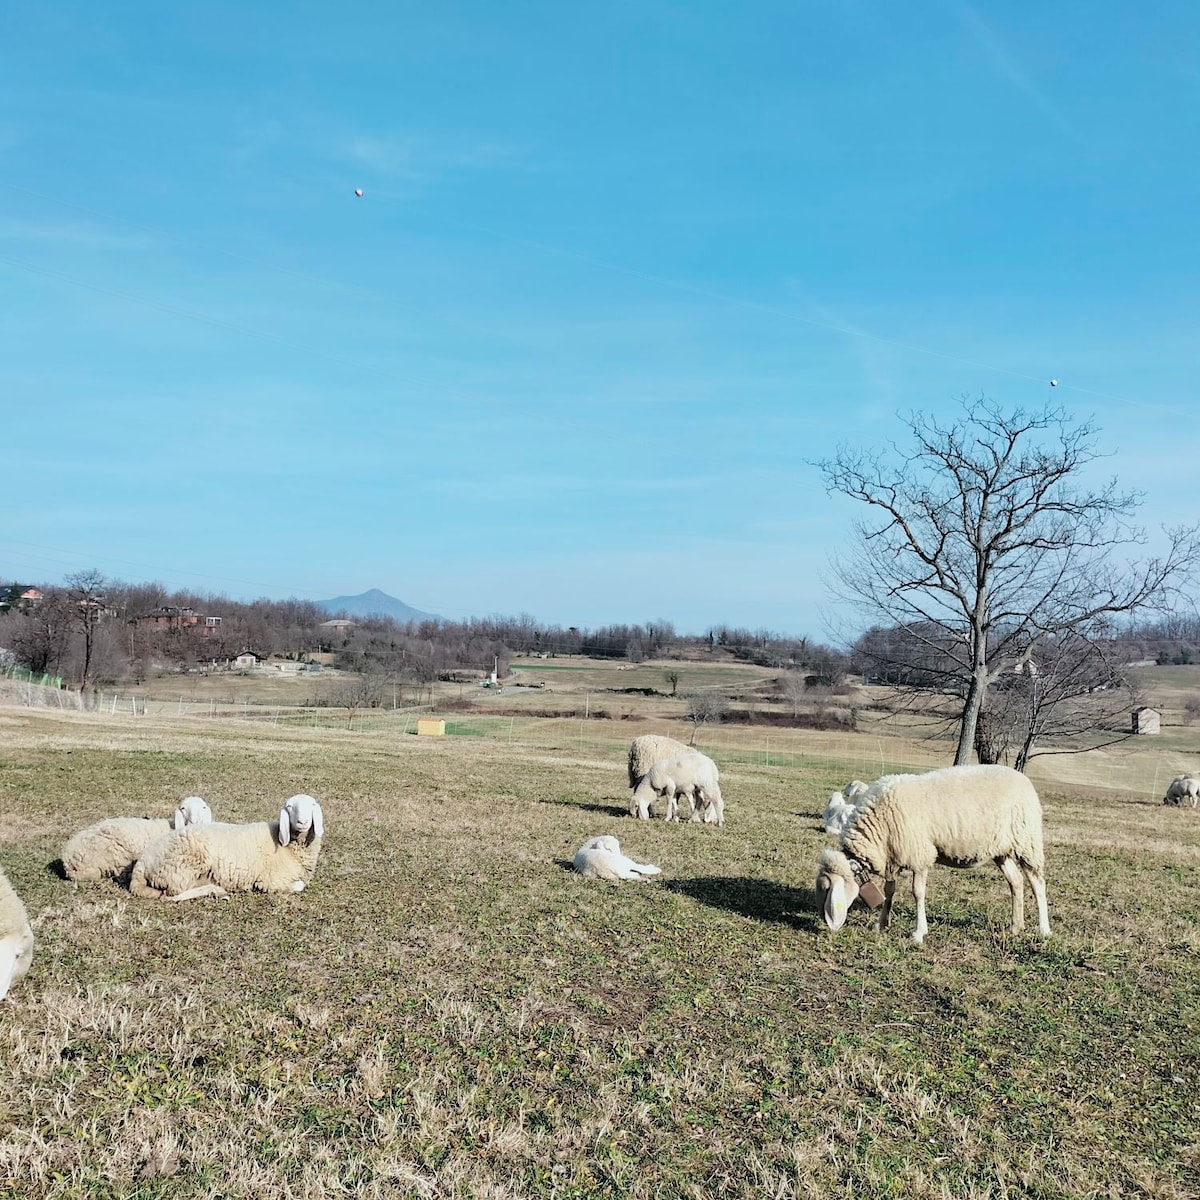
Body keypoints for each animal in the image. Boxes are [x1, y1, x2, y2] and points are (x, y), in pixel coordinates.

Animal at [130, 796, 324, 902]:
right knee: (172, 895)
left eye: (312, 805)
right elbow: (300, 885)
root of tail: (141, 864)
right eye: (290, 807)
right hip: (179, 869)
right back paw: (214, 890)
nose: (303, 822)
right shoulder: (270, 881)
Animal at [816, 768, 1051, 945]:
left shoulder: (919, 855)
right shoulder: (893, 855)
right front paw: (881, 924)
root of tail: (1022, 778)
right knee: (1016, 882)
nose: (825, 923)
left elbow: (918, 893)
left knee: (1038, 884)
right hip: (1001, 850)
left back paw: (1044, 929)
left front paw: (919, 933)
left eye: (828, 890)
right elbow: (889, 891)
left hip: (1027, 841)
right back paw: (1015, 926)